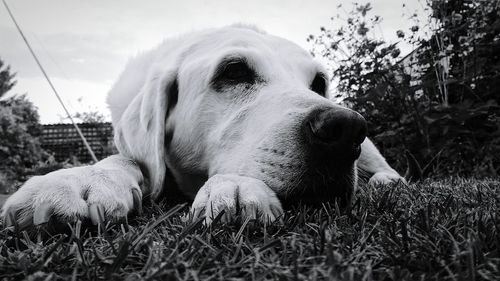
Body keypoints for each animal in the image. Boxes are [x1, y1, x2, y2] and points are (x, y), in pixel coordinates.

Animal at [0, 24, 406, 228]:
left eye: (319, 83)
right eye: (234, 71)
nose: (345, 129)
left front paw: (234, 185)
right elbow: (123, 159)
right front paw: (76, 180)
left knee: (385, 168)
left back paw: (387, 182)